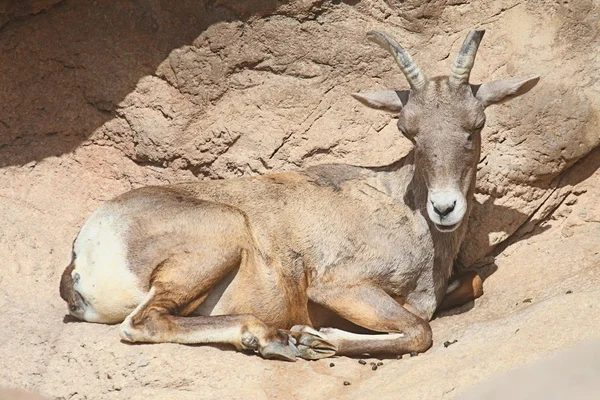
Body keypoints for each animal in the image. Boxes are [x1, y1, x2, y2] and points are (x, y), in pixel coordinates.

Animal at [59, 30, 540, 360]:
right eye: (410, 132)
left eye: (474, 126)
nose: (444, 208)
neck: (398, 206)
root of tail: (87, 250)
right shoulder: (339, 288)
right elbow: (420, 330)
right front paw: (316, 337)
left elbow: (470, 284)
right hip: (220, 237)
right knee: (144, 322)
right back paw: (278, 340)